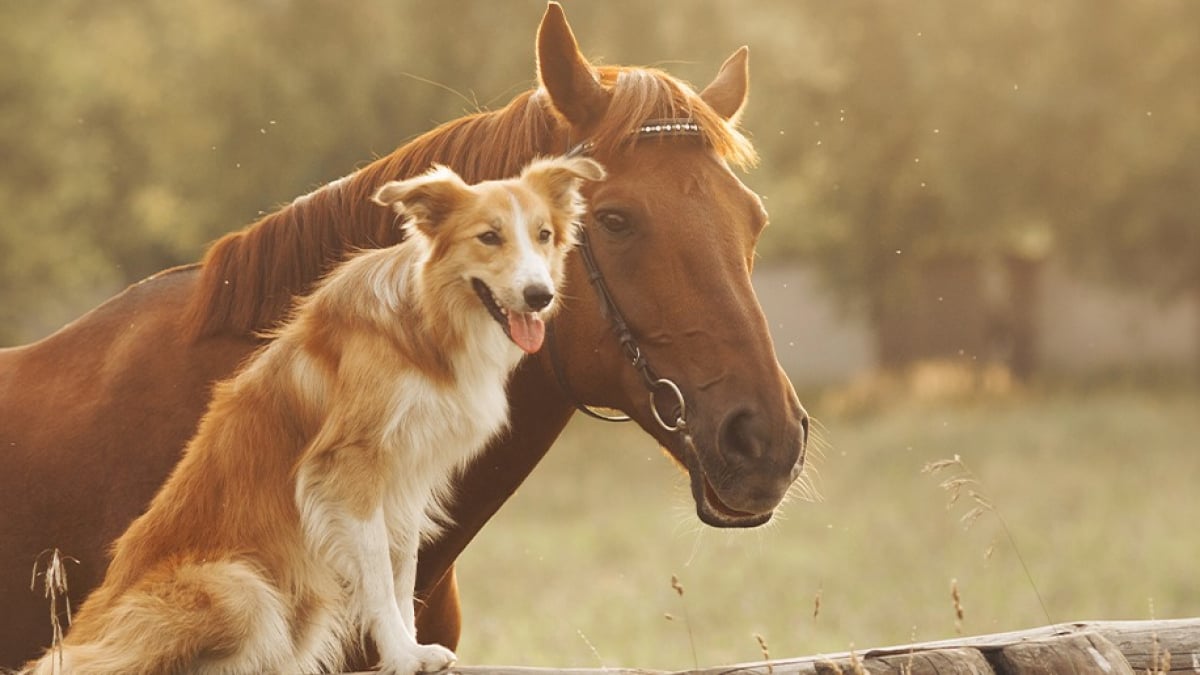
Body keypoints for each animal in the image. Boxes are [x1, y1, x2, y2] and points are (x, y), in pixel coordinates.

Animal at [25, 153, 609, 672]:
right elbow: (378, 576)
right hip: (242, 589)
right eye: (489, 237)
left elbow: (402, 570)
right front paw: (402, 655)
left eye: (544, 235)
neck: (425, 326)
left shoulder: (407, 478)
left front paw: (411, 649)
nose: (539, 295)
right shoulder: (350, 468)